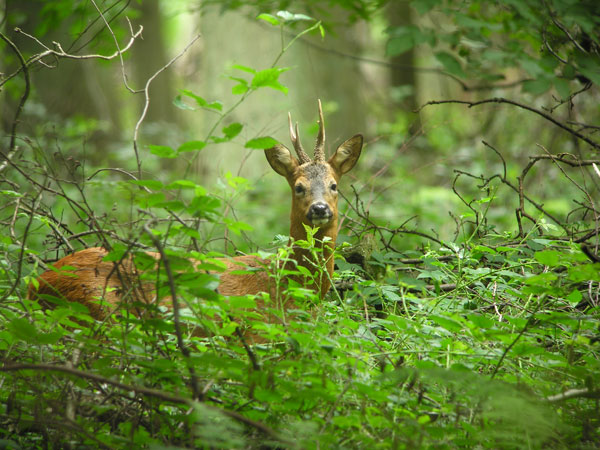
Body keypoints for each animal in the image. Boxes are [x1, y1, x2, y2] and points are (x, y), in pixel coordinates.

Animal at [28, 101, 364, 326]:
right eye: (298, 187)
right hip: (96, 306)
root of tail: (38, 281)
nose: (319, 209)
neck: (287, 285)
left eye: (334, 185)